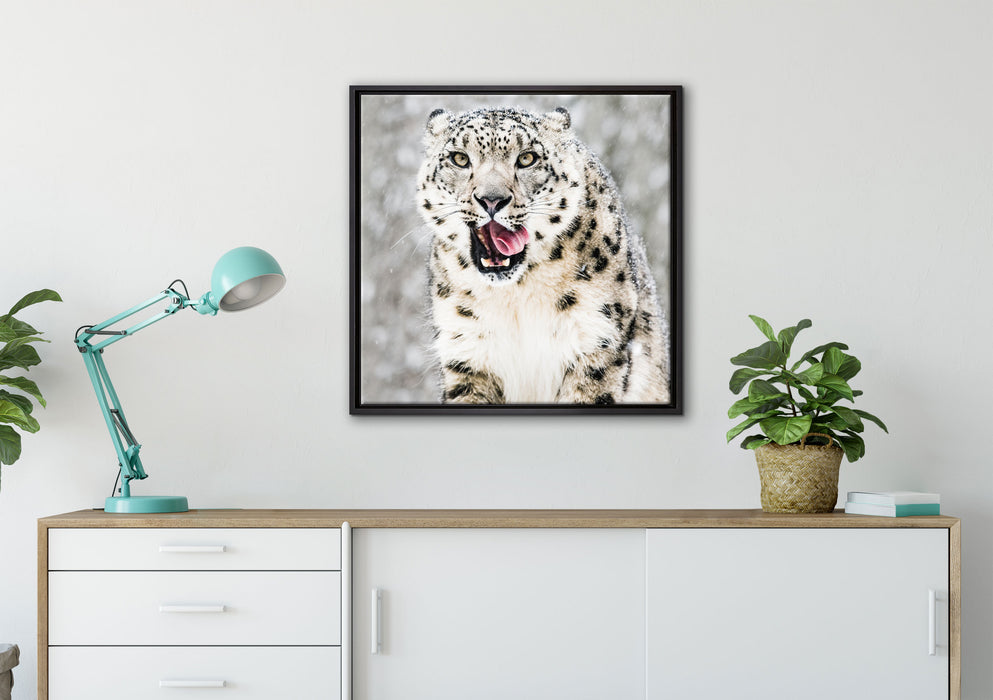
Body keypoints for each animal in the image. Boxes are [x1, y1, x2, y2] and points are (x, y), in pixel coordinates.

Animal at [416, 105, 670, 405]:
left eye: (527, 158)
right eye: (459, 158)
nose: (492, 199)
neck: (516, 297)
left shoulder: (596, 341)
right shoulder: (467, 351)